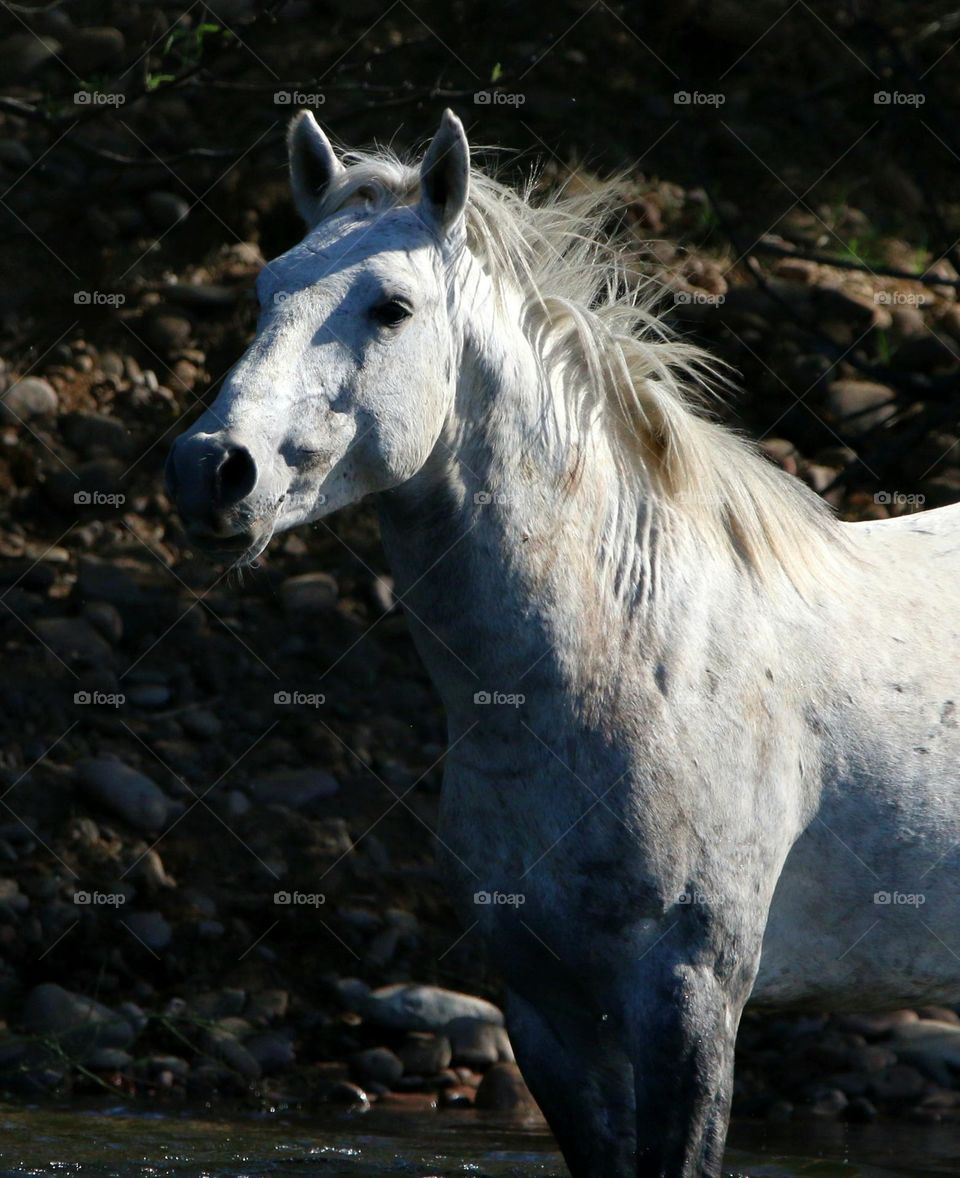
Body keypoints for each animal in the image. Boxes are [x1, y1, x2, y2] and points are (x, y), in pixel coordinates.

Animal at [165, 109, 960, 1177]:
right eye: (264, 293)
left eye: (392, 308)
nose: (211, 468)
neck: (630, 660)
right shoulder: (546, 1010)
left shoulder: (689, 997)